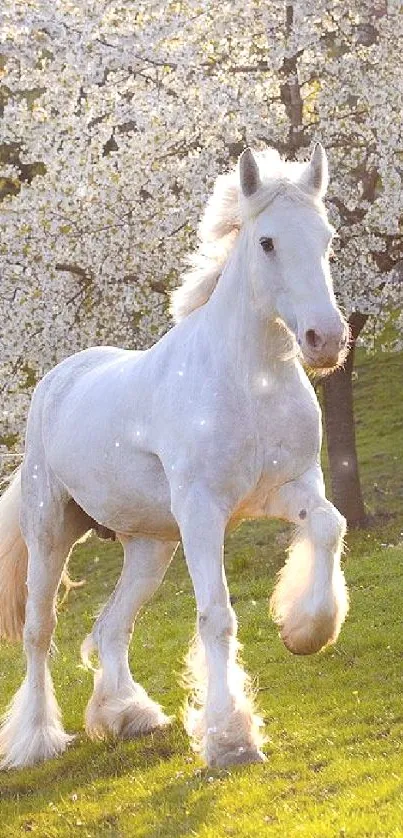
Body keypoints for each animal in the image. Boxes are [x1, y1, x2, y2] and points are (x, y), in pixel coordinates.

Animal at [0, 143, 350, 768]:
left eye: (327, 236)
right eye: (267, 242)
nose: (325, 340)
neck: (249, 380)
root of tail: (57, 380)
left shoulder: (291, 489)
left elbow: (330, 526)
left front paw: (304, 631)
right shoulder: (203, 512)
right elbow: (217, 616)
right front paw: (231, 739)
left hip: (149, 545)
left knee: (110, 626)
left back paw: (128, 716)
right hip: (50, 533)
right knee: (40, 632)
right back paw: (36, 741)